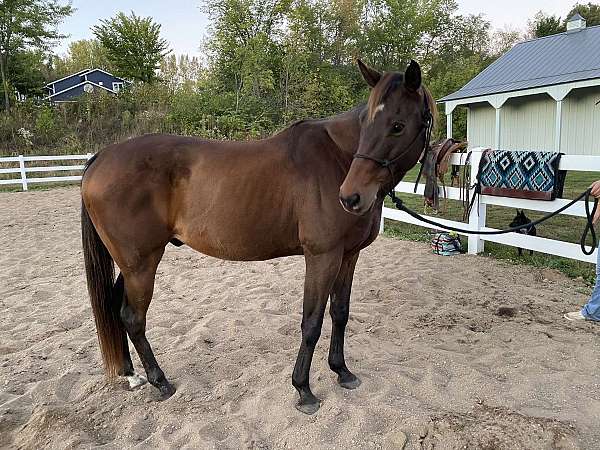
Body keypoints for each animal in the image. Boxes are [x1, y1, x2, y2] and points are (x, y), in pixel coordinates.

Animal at [81, 59, 436, 414]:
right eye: (367, 123)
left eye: (397, 125)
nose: (350, 197)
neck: (336, 157)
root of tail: (102, 156)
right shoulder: (322, 256)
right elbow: (311, 322)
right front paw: (303, 389)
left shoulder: (348, 255)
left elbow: (340, 313)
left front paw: (342, 372)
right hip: (141, 264)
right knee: (133, 318)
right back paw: (160, 381)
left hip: (131, 264)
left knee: (116, 308)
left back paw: (132, 375)